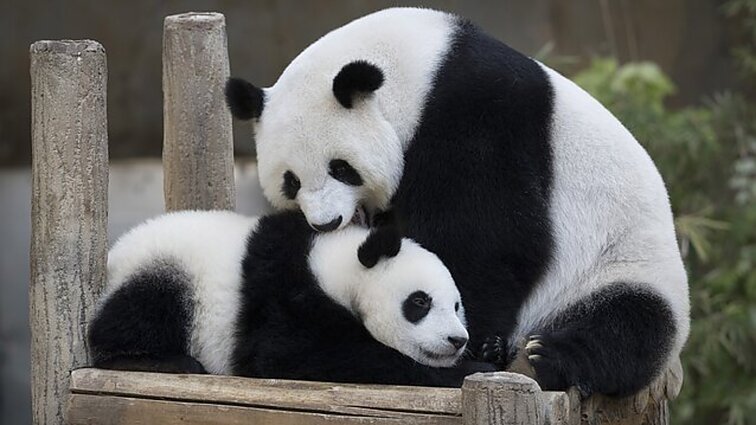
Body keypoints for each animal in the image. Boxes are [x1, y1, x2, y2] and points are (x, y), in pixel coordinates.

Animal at [87, 209, 495, 387]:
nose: (457, 340)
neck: (336, 262)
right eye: (420, 302)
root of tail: (113, 257)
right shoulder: (286, 294)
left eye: (457, 306)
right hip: (167, 269)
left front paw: (489, 350)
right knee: (140, 312)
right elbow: (298, 354)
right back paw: (162, 361)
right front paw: (470, 369)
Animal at [225, 7, 690, 397]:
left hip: (620, 265)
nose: (325, 223)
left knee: (627, 326)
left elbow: (488, 236)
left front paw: (470, 336)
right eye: (291, 182)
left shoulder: (479, 116)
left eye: (341, 168)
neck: (420, 69)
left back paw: (545, 359)